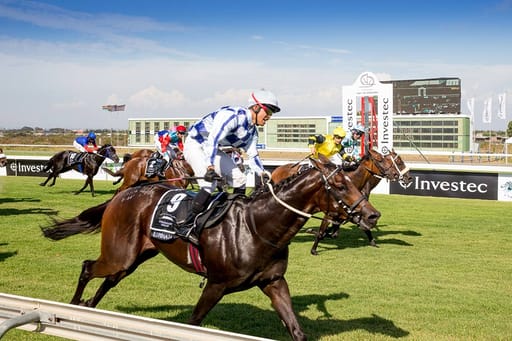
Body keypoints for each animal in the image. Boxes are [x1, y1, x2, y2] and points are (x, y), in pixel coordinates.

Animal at [42, 155, 380, 340]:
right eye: (340, 186)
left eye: (354, 182)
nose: (372, 215)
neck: (256, 226)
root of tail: (124, 194)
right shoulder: (216, 284)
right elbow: (193, 323)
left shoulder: (273, 282)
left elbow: (296, 329)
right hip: (119, 254)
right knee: (88, 267)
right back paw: (73, 306)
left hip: (135, 256)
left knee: (110, 280)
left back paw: (87, 309)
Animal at [272, 147, 412, 254]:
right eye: (397, 161)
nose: (408, 177)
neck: (353, 182)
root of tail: (277, 169)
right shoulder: (331, 212)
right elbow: (323, 231)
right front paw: (314, 246)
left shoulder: (353, 211)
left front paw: (372, 241)